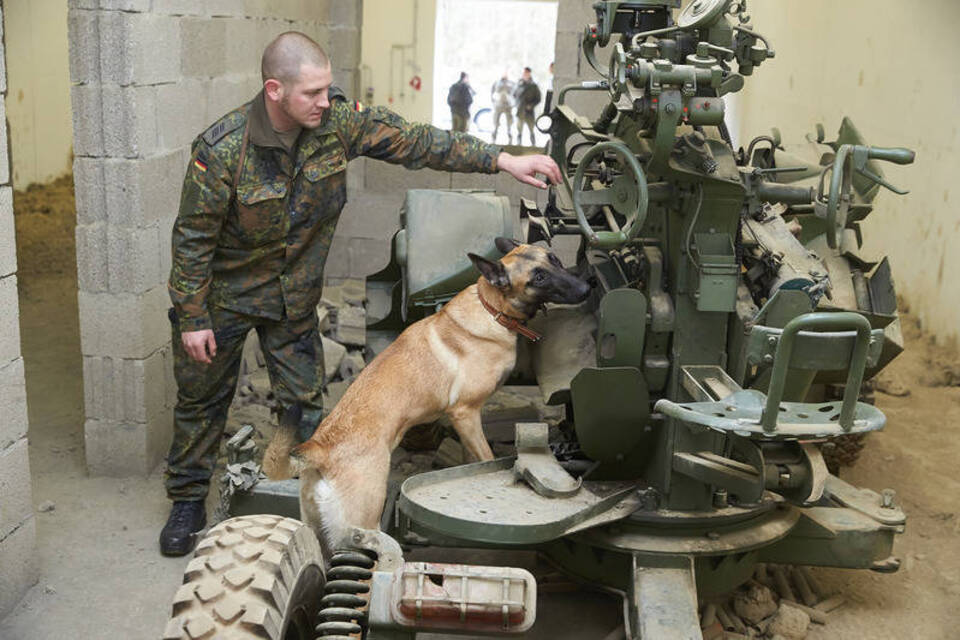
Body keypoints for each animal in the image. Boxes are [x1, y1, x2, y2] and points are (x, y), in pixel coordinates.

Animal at [264, 238, 592, 552]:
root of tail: (320, 446)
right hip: (367, 516)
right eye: (538, 277)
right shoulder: (466, 413)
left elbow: (472, 460)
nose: (588, 288)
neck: (491, 307)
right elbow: (486, 457)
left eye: (554, 259)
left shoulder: (467, 423)